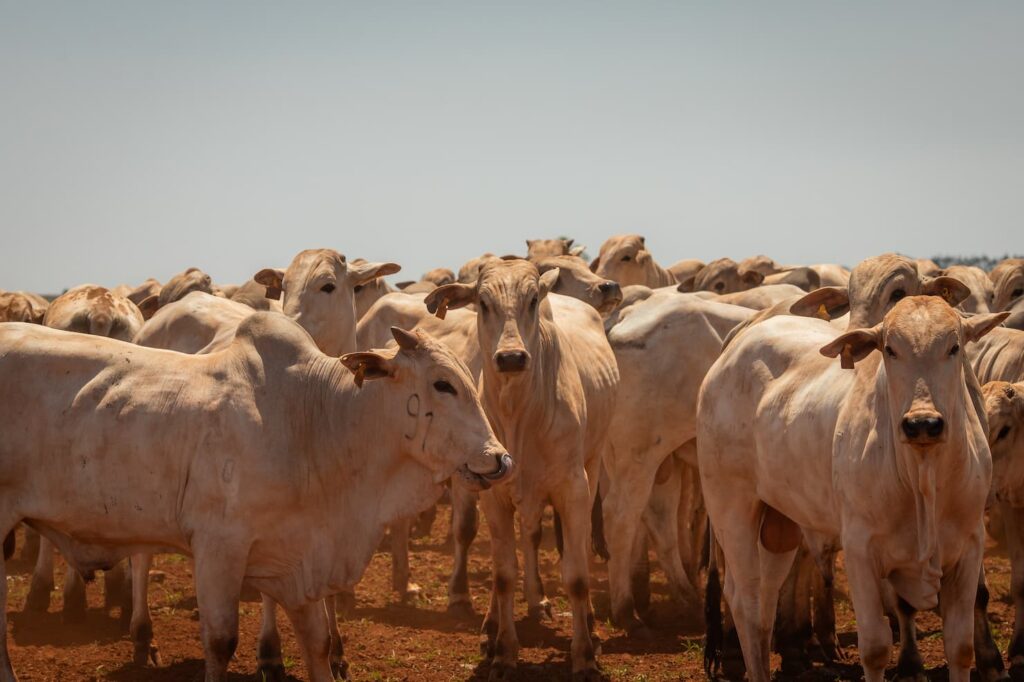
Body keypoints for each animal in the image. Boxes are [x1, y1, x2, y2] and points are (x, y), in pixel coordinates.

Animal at [0, 319, 512, 679]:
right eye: (442, 384)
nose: (500, 459)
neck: (313, 422)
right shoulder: (218, 548)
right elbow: (220, 641)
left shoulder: (297, 559)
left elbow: (318, 643)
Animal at [423, 259, 614, 675]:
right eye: (483, 302)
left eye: (532, 300)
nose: (511, 357)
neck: (519, 413)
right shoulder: (494, 495)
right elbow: (503, 575)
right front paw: (504, 652)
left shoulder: (572, 489)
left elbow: (576, 575)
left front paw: (584, 655)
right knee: (524, 540)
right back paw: (495, 625)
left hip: (591, 466)